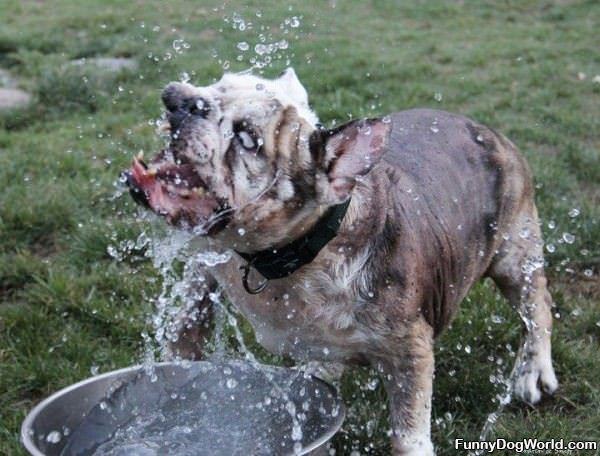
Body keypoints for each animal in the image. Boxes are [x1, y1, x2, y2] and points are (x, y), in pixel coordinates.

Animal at [125, 68, 556, 456]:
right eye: (218, 84)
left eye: (248, 139)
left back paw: (532, 370)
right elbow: (188, 319)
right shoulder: (207, 261)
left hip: (514, 253)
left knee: (537, 306)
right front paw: (174, 366)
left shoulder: (409, 348)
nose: (189, 103)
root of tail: (489, 131)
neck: (292, 255)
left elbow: (408, 431)